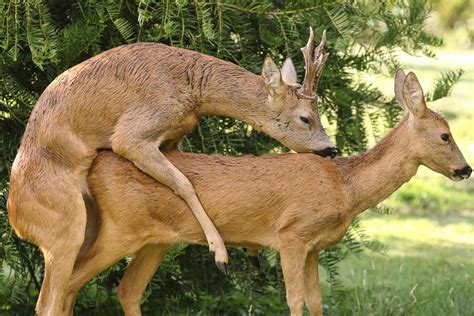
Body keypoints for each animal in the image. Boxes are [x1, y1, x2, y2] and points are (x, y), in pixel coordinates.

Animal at [5, 29, 336, 314]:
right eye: (305, 118)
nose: (331, 149)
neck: (191, 88)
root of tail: (16, 220)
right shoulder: (132, 134)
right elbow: (184, 182)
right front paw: (221, 255)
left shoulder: (173, 137)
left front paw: (249, 251)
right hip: (63, 227)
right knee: (48, 301)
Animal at [62, 70, 470, 314]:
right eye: (445, 135)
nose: (465, 169)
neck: (344, 187)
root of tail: (95, 165)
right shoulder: (291, 234)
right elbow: (295, 299)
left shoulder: (314, 247)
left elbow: (317, 302)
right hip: (119, 230)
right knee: (66, 281)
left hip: (154, 241)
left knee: (124, 290)